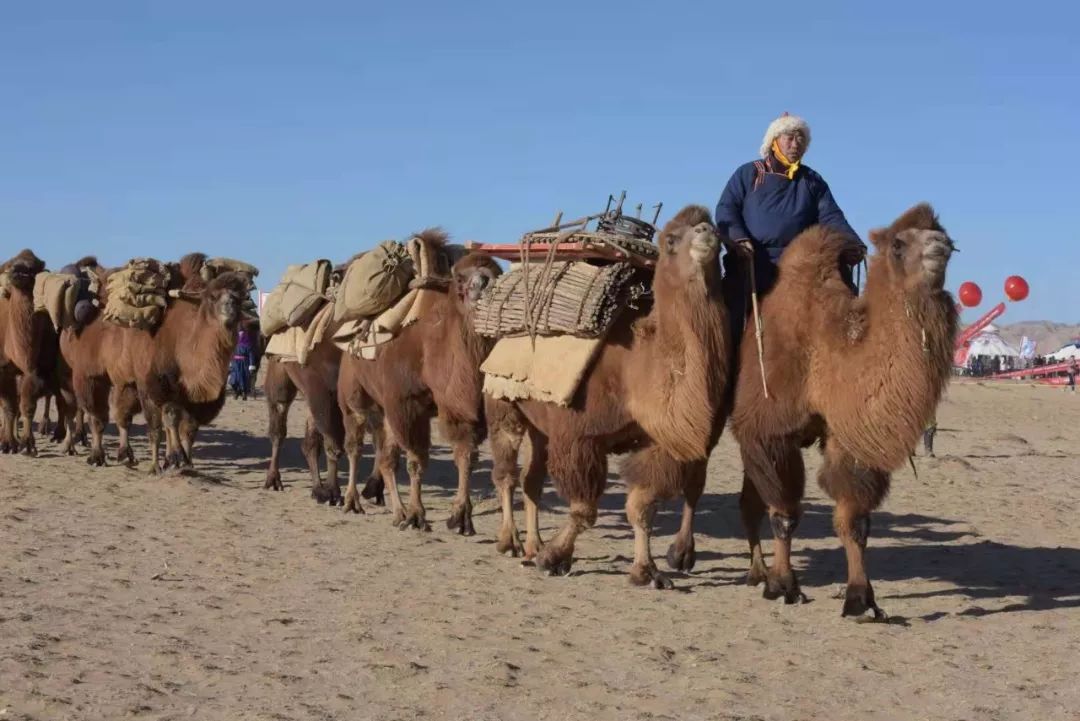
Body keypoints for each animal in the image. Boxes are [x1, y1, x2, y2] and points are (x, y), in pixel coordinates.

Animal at [0, 250, 70, 453]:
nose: (18, 271)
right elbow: (9, 407)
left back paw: (58, 434)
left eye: (34, 266)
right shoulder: (4, 368)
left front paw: (27, 444)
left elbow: (27, 406)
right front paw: (8, 443)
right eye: (11, 263)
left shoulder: (34, 370)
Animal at [334, 234, 498, 533]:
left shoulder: (459, 408)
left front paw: (461, 517)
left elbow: (466, 457)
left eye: (497, 273)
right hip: (353, 396)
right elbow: (416, 461)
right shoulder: (406, 404)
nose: (482, 283)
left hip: (384, 408)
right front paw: (417, 515)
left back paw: (397, 512)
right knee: (355, 445)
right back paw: (352, 501)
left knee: (386, 457)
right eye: (460, 278)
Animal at [488, 205, 730, 587]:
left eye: (719, 235)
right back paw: (509, 541)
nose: (706, 232)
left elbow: (642, 507)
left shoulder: (655, 442)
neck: (636, 371)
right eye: (671, 239)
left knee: (532, 480)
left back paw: (532, 544)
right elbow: (584, 510)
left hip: (542, 424)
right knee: (506, 472)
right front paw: (554, 557)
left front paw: (647, 570)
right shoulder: (579, 435)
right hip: (502, 400)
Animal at [734, 203, 954, 621]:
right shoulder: (770, 429)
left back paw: (756, 570)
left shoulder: (846, 434)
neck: (825, 355)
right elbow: (784, 513)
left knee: (749, 496)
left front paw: (860, 598)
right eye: (898, 244)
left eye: (949, 236)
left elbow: (854, 522)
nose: (941, 247)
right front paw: (784, 585)